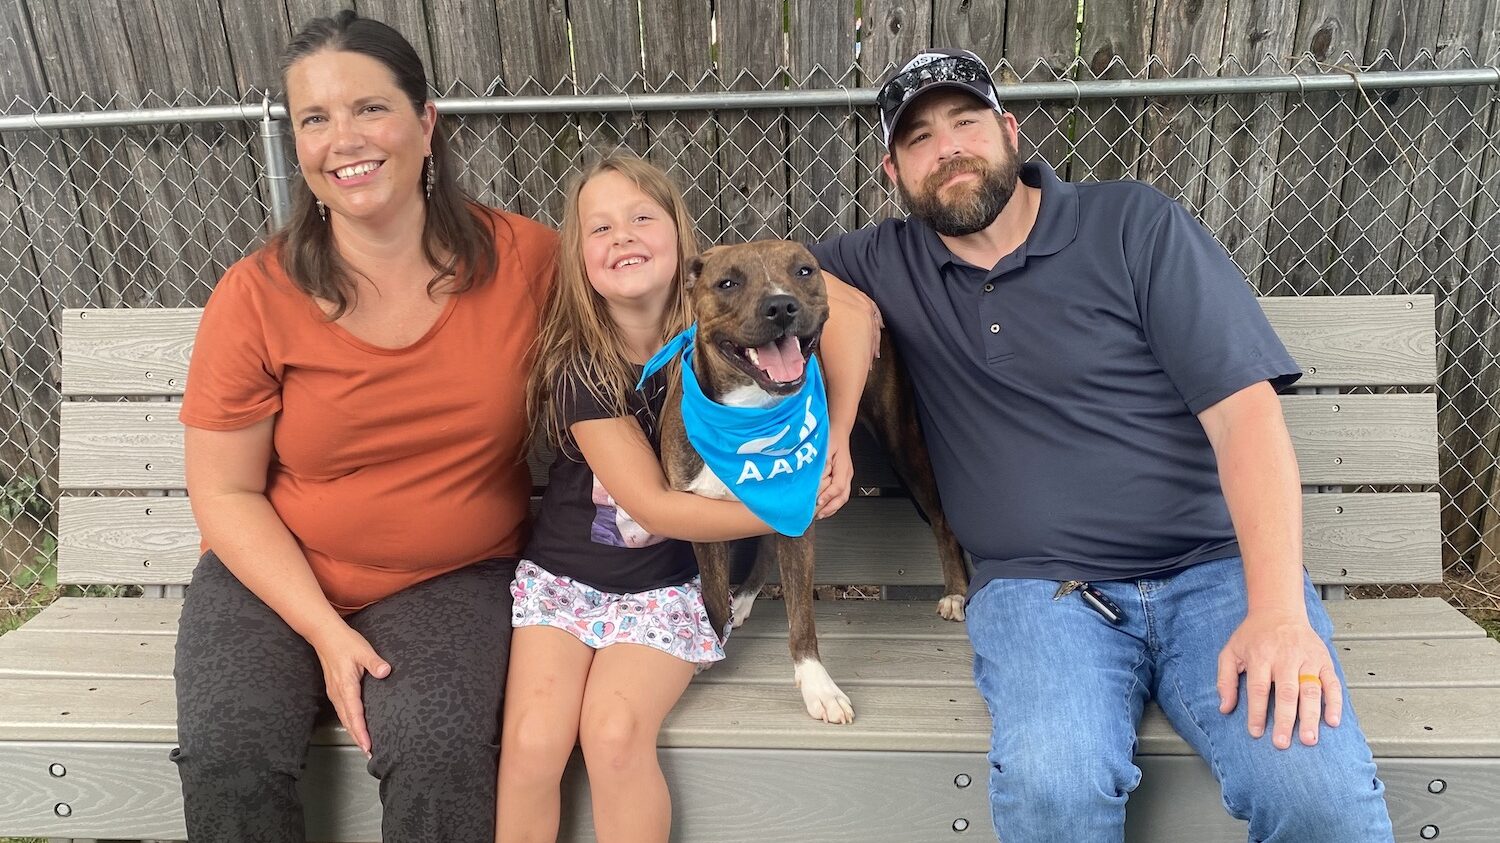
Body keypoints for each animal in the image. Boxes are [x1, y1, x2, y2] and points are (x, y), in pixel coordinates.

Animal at [660, 238, 966, 723]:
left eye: (804, 271)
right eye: (727, 282)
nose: (781, 305)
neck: (749, 415)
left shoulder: (801, 513)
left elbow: (802, 615)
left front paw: (818, 685)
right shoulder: (699, 515)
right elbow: (710, 593)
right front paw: (710, 646)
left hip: (904, 443)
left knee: (941, 519)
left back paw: (955, 593)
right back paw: (743, 600)